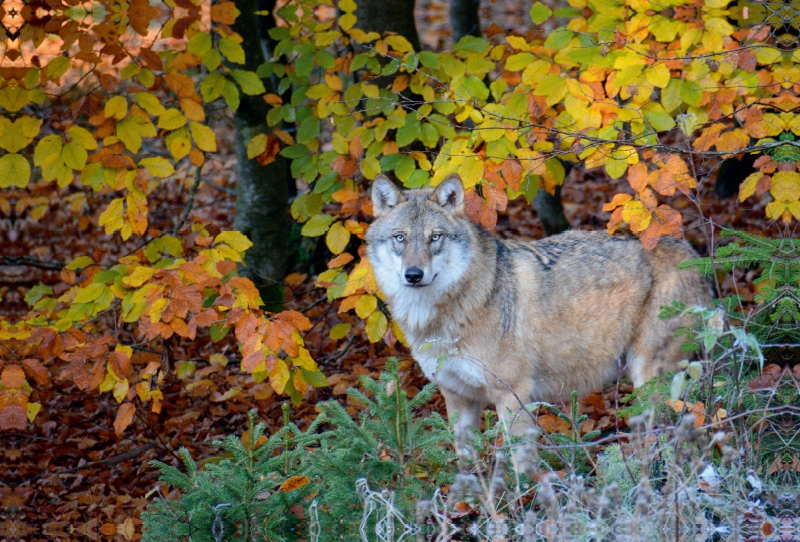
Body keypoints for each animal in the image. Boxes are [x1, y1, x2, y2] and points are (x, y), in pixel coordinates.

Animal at [368, 176, 712, 436]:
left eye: (435, 237)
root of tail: (692, 252)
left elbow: (519, 468)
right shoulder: (458, 399)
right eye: (400, 238)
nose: (414, 275)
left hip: (647, 376)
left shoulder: (513, 395)